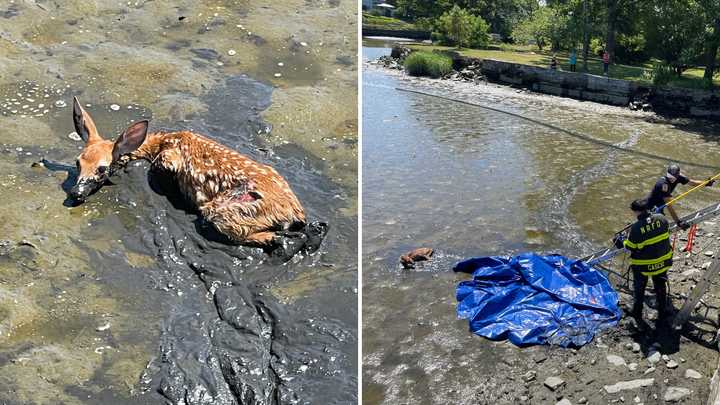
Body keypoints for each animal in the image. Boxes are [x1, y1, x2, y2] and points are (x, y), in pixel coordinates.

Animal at [67, 96, 326, 258]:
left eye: (102, 169)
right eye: (77, 162)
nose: (75, 192)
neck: (161, 142)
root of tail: (295, 212)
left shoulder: (169, 158)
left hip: (227, 210)